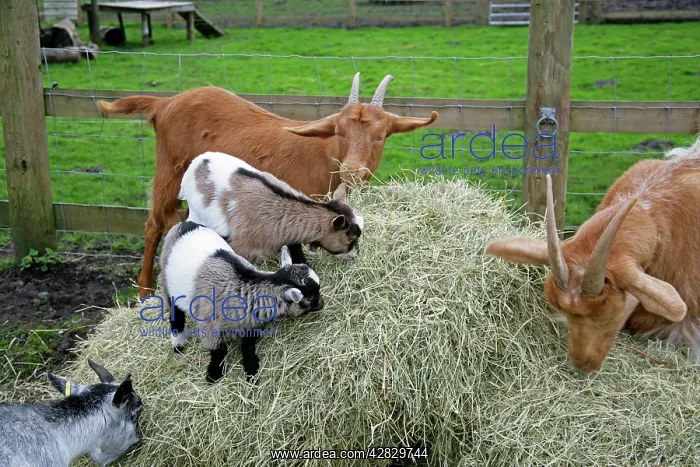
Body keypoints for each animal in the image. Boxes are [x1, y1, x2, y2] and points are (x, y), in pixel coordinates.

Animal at [156, 221, 324, 383]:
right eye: (310, 296)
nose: (321, 304)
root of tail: (181, 225)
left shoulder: (250, 323)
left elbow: (248, 347)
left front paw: (251, 372)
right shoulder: (209, 324)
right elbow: (218, 350)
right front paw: (214, 374)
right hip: (166, 283)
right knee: (175, 314)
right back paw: (178, 345)